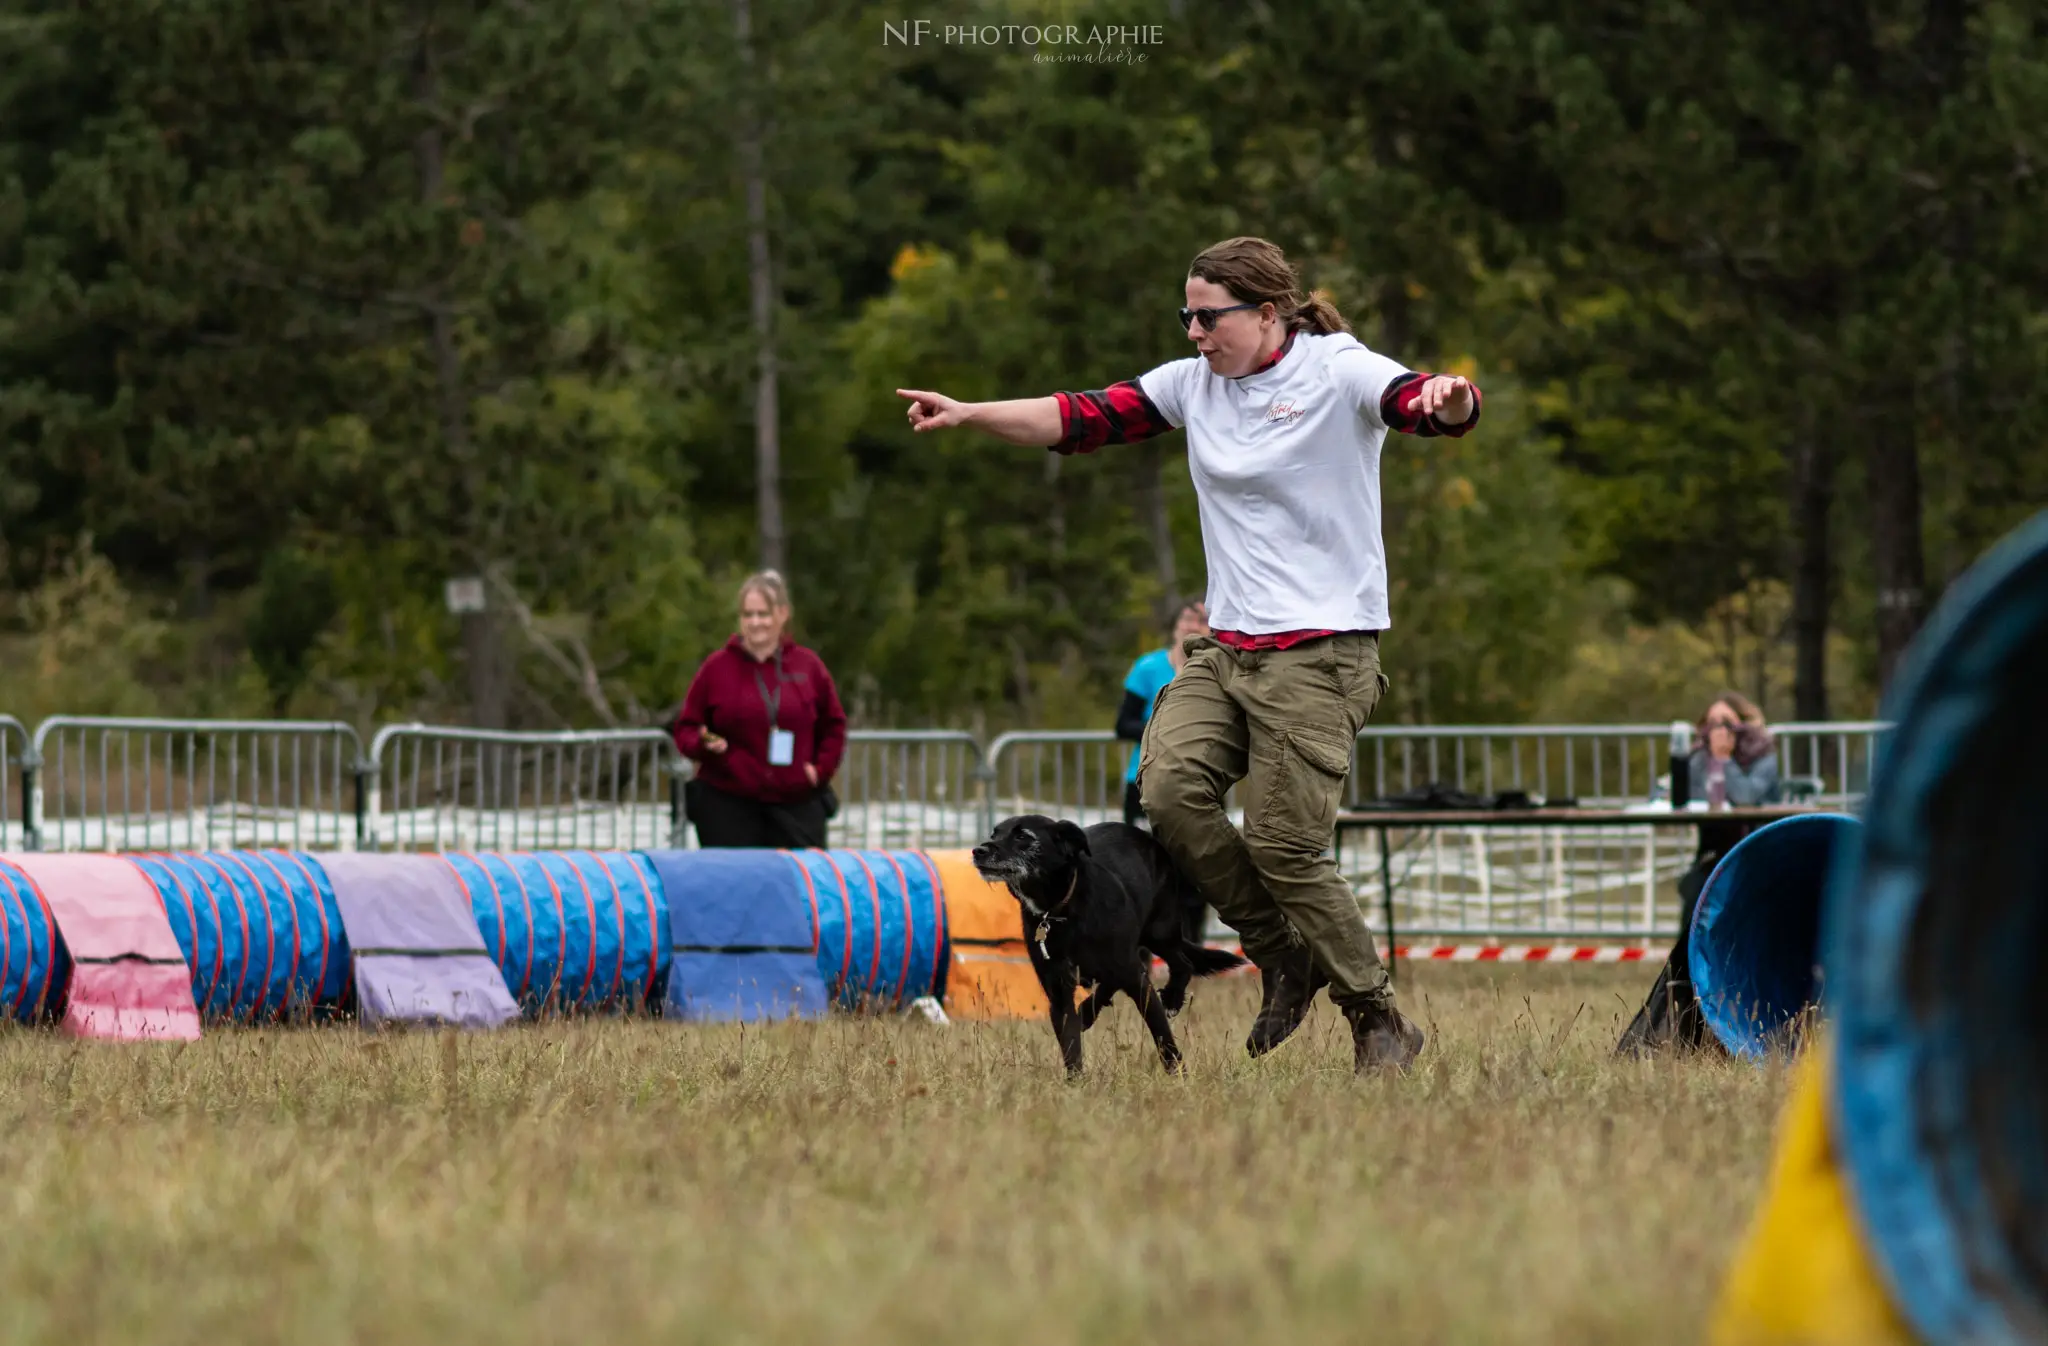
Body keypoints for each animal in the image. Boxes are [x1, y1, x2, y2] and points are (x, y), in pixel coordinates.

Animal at [974, 807, 1245, 1073]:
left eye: (1023, 836)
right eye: (995, 833)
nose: (978, 851)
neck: (1061, 909)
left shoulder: (1136, 978)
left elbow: (1160, 1032)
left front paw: (1177, 1072)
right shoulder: (1058, 991)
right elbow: (1071, 1046)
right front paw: (1075, 1082)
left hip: (1160, 931)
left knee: (1182, 962)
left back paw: (1172, 998)